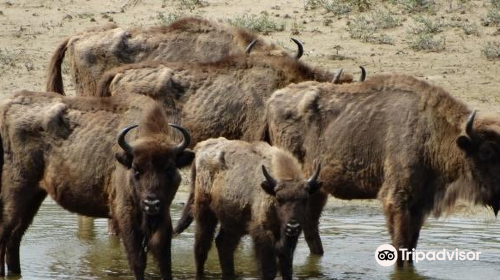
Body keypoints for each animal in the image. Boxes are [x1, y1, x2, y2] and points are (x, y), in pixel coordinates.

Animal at [0, 91, 194, 278]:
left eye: (169, 168)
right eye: (136, 169)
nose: (151, 204)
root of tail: (6, 106)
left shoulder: (163, 216)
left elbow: (164, 261)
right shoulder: (126, 215)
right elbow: (137, 260)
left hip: (34, 196)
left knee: (15, 236)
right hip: (17, 191)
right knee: (5, 231)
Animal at [172, 138, 320, 280]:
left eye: (305, 199)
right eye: (279, 199)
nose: (292, 226)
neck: (270, 190)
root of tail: (201, 147)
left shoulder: (287, 239)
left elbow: (286, 266)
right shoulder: (261, 233)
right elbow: (269, 269)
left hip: (232, 223)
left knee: (223, 245)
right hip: (205, 213)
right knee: (201, 247)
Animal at [264, 74, 500, 264]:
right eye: (486, 151)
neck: (433, 132)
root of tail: (274, 98)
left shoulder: (418, 205)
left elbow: (411, 245)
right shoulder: (397, 201)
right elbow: (401, 246)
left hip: (317, 189)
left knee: (311, 225)